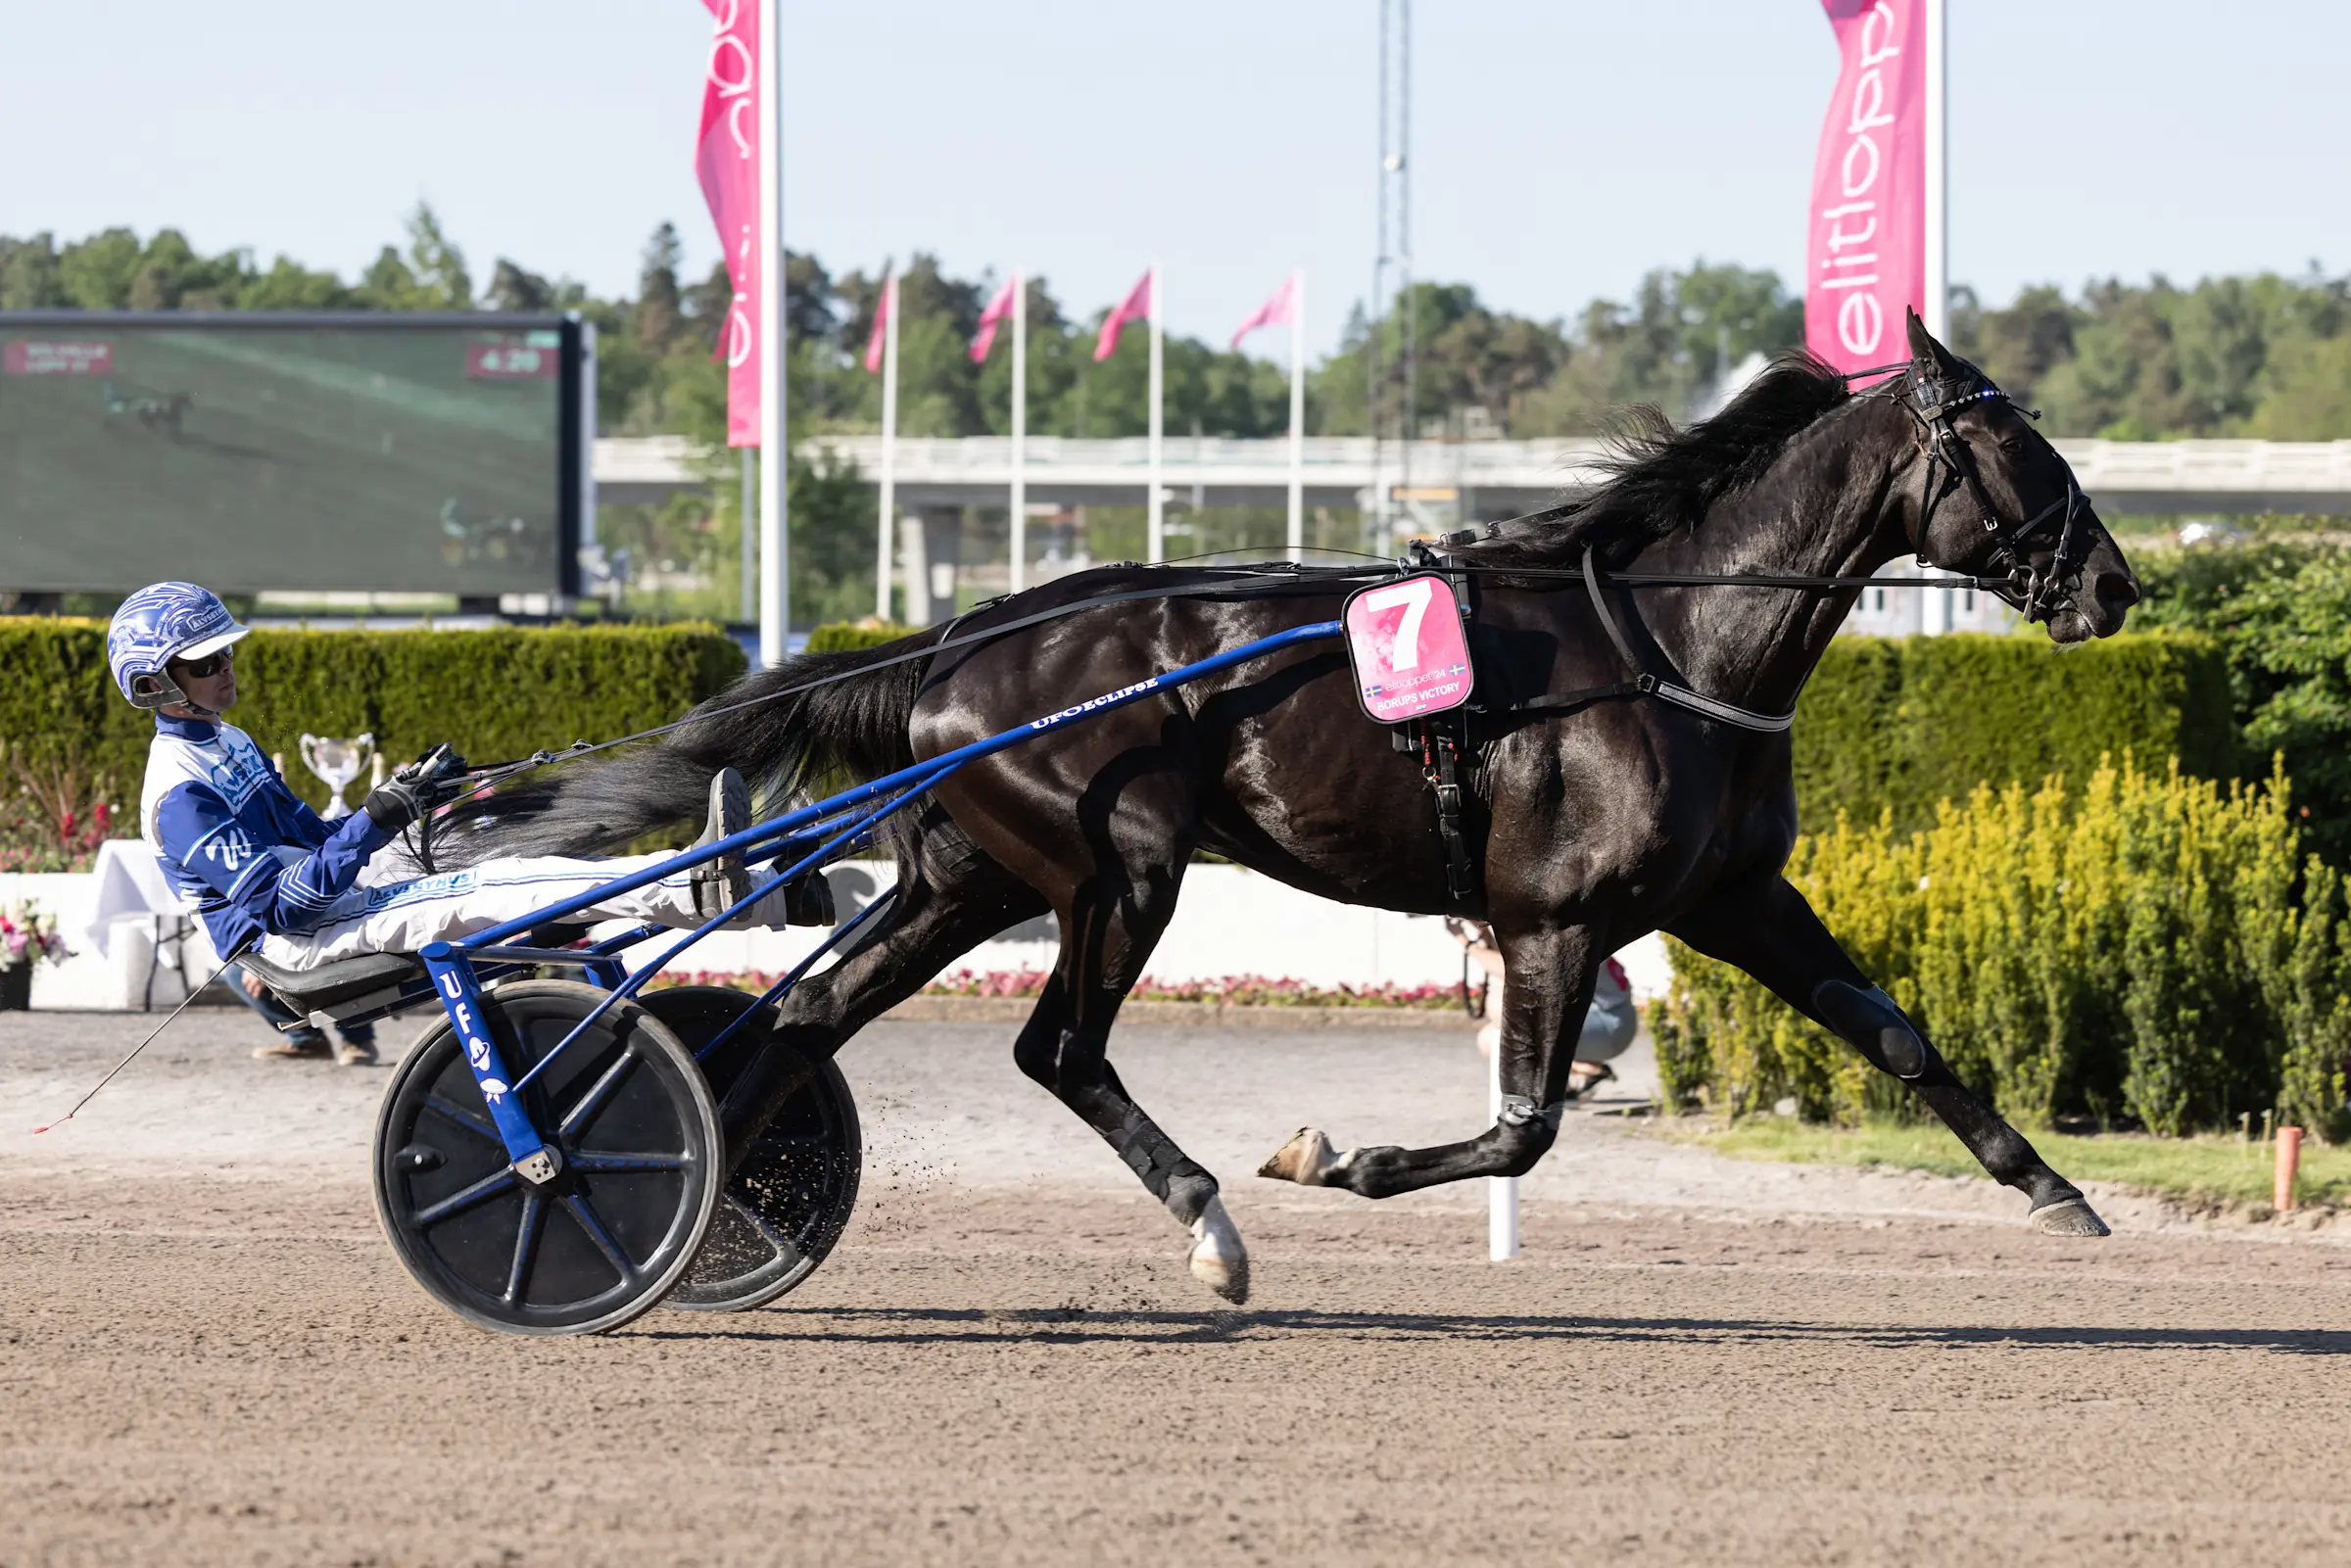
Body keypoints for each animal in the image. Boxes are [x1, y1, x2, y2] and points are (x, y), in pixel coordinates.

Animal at [449, 312, 2143, 1307]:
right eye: (2013, 444)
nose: (2119, 585)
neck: (1669, 647)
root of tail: (964, 633)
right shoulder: (1552, 919)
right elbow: (1524, 1127)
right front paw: (1336, 1161)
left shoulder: (1733, 898)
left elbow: (1902, 1036)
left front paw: (2058, 1194)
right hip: (1116, 870)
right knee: (1057, 1048)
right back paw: (1209, 1224)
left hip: (968, 879)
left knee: (800, 1021)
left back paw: (697, 1223)